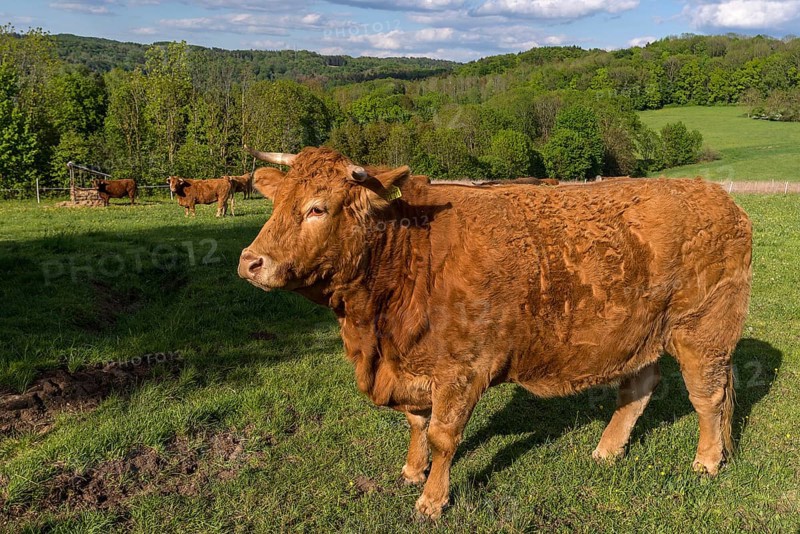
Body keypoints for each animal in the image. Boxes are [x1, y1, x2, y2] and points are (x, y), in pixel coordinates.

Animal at [237, 145, 752, 520]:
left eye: (317, 209)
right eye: (277, 203)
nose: (250, 261)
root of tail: (716, 196)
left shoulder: (461, 370)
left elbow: (443, 435)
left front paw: (432, 500)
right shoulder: (414, 364)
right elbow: (417, 423)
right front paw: (411, 470)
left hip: (703, 332)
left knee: (708, 397)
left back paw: (707, 460)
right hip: (639, 335)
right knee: (639, 387)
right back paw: (606, 451)